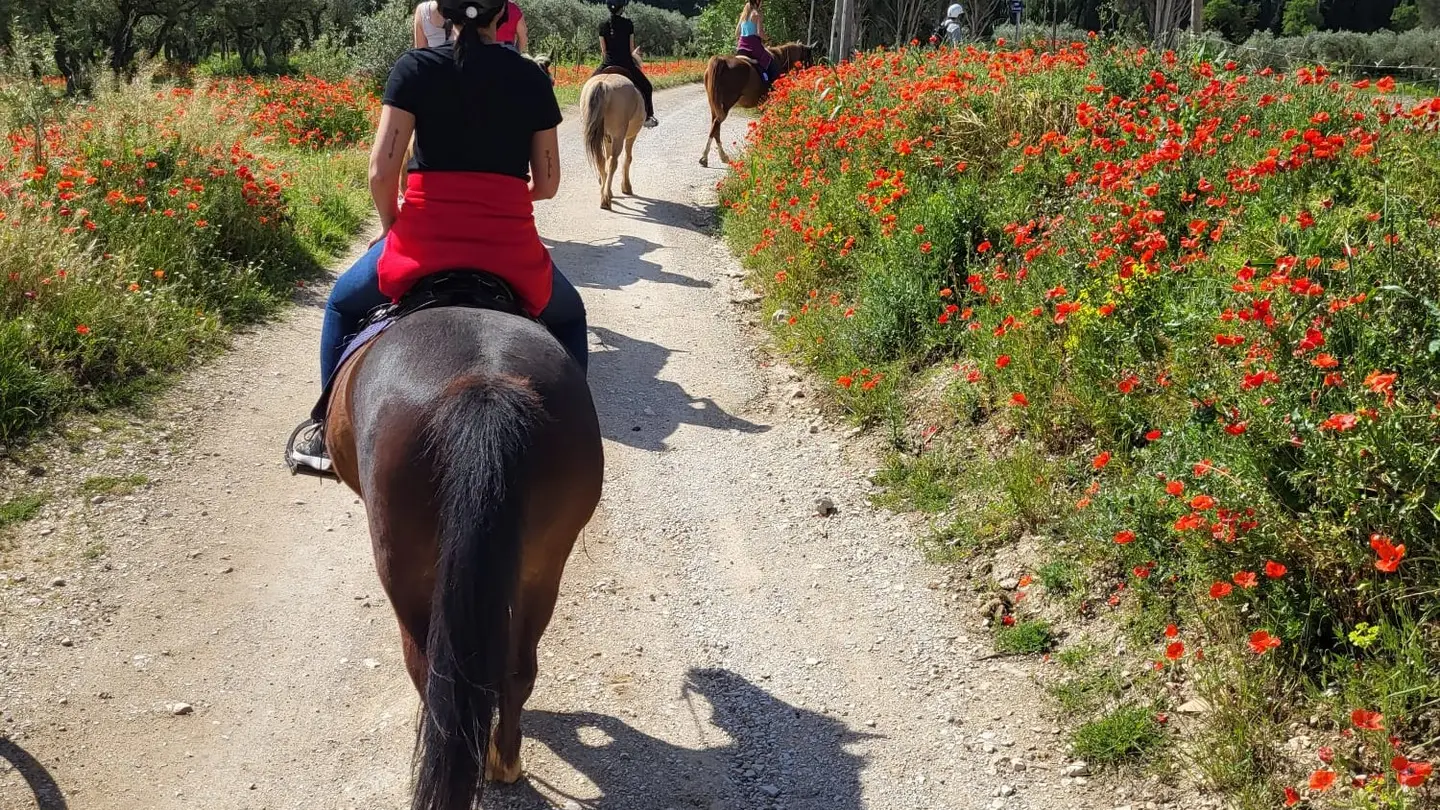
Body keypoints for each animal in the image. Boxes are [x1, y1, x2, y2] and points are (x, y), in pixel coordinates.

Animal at [324, 285, 604, 809]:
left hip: (405, 571)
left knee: (428, 672)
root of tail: (484, 385)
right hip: (542, 567)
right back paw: (504, 762)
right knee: (518, 671)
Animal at [579, 68, 645, 210]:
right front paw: (626, 187)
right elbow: (628, 158)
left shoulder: (606, 138)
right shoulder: (630, 136)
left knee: (602, 160)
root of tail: (603, 85)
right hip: (619, 137)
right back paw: (605, 200)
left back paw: (605, 194)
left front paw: (607, 189)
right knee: (613, 162)